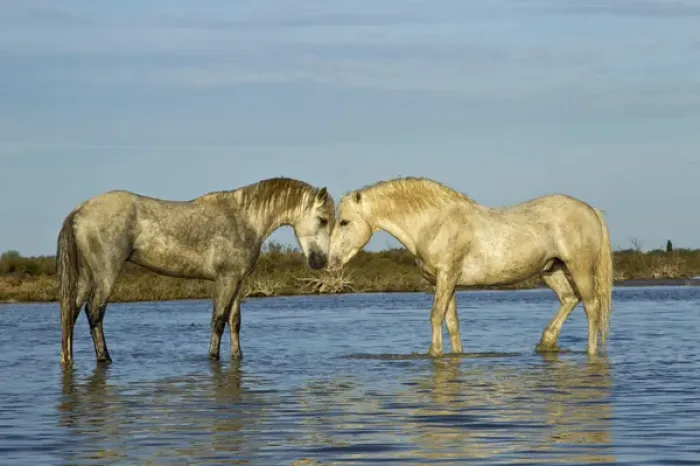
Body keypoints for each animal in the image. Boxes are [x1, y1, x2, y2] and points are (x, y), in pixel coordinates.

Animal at [57, 177, 335, 365]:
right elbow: (218, 320)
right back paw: (105, 358)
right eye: (322, 220)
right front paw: (212, 356)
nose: (320, 262)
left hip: (87, 276)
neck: (244, 219)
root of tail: (79, 210)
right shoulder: (225, 279)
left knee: (72, 312)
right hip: (106, 274)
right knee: (95, 311)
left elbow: (235, 322)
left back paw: (69, 358)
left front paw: (237, 356)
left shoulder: (237, 281)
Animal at [328, 177, 613, 357]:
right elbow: (452, 322)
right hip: (550, 270)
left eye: (344, 222)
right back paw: (546, 343)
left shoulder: (446, 276)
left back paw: (590, 352)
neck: (434, 223)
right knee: (569, 299)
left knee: (591, 308)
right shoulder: (446, 282)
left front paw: (434, 353)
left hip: (579, 269)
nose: (330, 262)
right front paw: (456, 354)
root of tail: (591, 210)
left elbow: (435, 316)